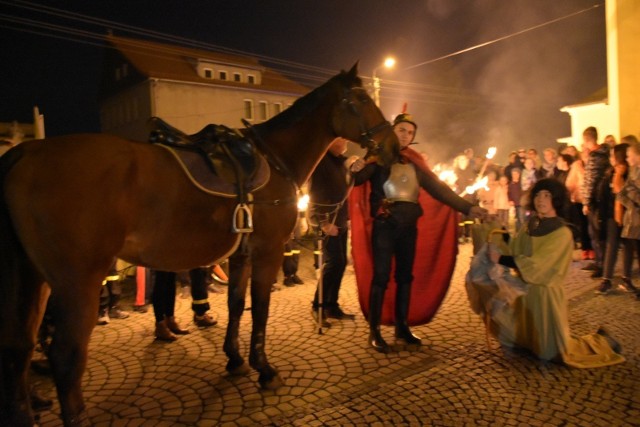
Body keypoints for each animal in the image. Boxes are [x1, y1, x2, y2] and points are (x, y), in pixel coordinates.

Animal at [0, 64, 398, 427]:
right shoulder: (267, 253)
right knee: (65, 357)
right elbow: (260, 309)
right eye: (362, 100)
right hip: (77, 282)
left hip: (34, 280)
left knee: (18, 350)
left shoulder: (240, 255)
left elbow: (237, 305)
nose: (394, 146)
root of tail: (24, 153)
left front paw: (235, 359)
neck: (273, 159)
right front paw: (264, 369)